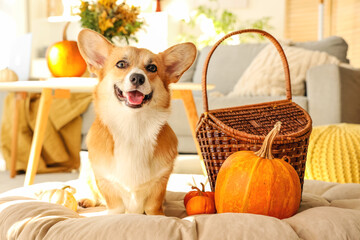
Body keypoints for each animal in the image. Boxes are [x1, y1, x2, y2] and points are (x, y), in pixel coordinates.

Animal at [76, 29, 198, 215]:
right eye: (121, 64)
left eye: (152, 68)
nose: (137, 78)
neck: (132, 126)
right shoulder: (104, 180)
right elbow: (115, 206)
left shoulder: (160, 182)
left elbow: (153, 206)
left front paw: (160, 215)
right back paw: (87, 200)